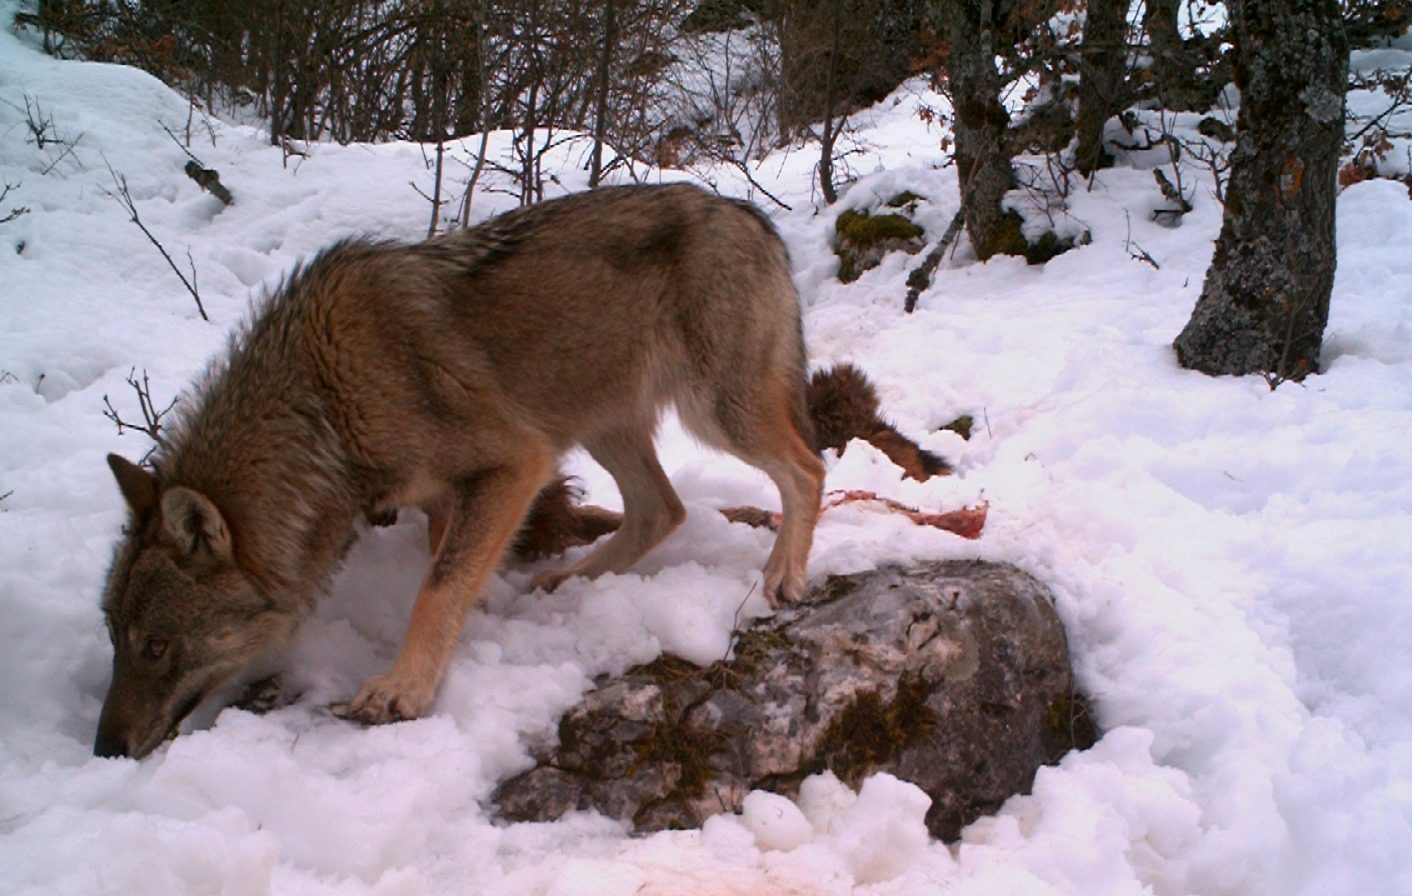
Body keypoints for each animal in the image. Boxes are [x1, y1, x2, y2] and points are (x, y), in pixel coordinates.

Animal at [96, 186, 824, 761]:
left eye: (155, 647)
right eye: (117, 642)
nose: (105, 748)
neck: (324, 403)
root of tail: (744, 212)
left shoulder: (514, 462)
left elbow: (436, 588)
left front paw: (402, 691)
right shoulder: (451, 494)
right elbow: (444, 573)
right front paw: (476, 622)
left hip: (713, 413)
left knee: (806, 468)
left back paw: (783, 576)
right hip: (600, 424)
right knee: (662, 510)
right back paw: (567, 581)